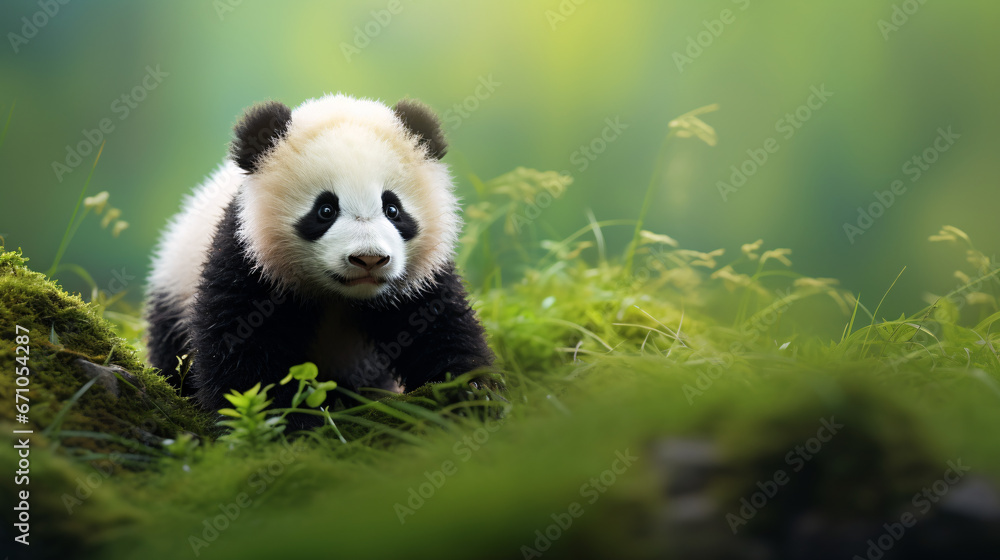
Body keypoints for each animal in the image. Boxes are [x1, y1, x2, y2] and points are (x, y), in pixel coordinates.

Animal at [144, 94, 496, 421]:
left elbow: (438, 327)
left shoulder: (420, 278)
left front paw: (473, 392)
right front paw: (281, 420)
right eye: (325, 210)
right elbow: (240, 345)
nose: (369, 259)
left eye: (393, 209)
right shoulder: (248, 258)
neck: (341, 295)